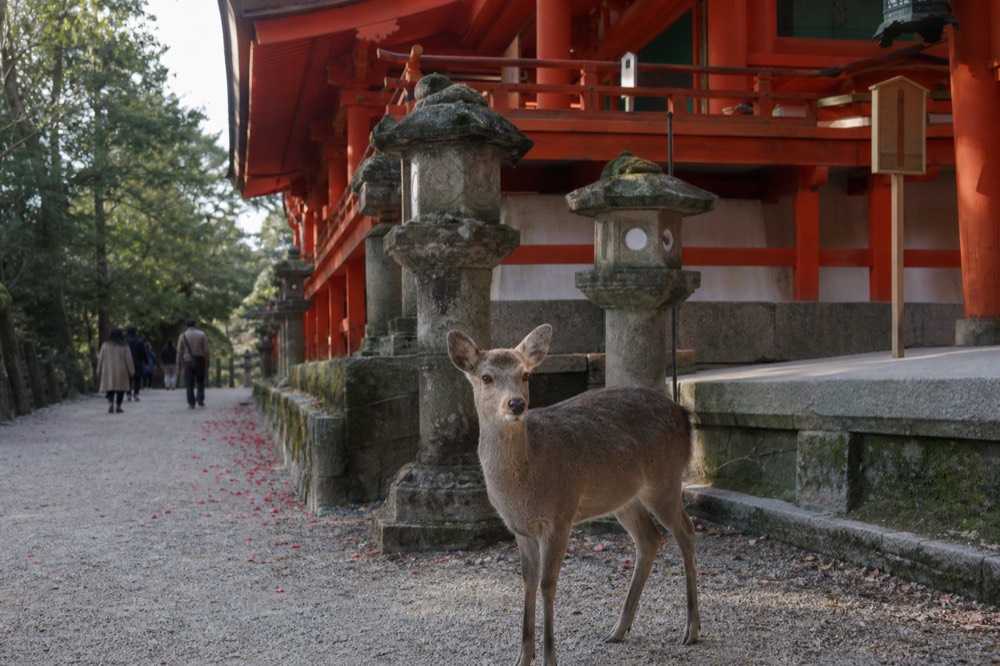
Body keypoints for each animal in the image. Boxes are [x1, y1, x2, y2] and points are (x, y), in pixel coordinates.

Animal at [447, 323, 699, 666]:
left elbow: (547, 584)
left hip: (665, 479)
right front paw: (522, 657)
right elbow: (527, 583)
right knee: (650, 538)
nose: (516, 404)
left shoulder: (560, 515)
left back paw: (691, 630)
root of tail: (684, 415)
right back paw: (618, 630)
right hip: (624, 497)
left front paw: (550, 658)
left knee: (686, 530)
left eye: (526, 375)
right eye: (486, 377)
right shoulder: (520, 529)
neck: (522, 486)